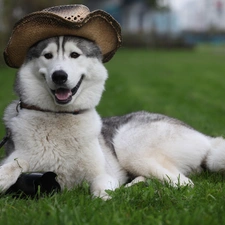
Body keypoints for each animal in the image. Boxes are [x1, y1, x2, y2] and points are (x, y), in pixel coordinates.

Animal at [1, 36, 225, 200]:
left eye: (74, 55)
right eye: (47, 56)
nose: (59, 76)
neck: (60, 116)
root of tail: (206, 138)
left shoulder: (103, 174)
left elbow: (101, 195)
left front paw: (108, 197)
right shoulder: (20, 157)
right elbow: (17, 163)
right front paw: (4, 176)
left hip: (130, 146)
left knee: (185, 184)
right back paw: (138, 184)